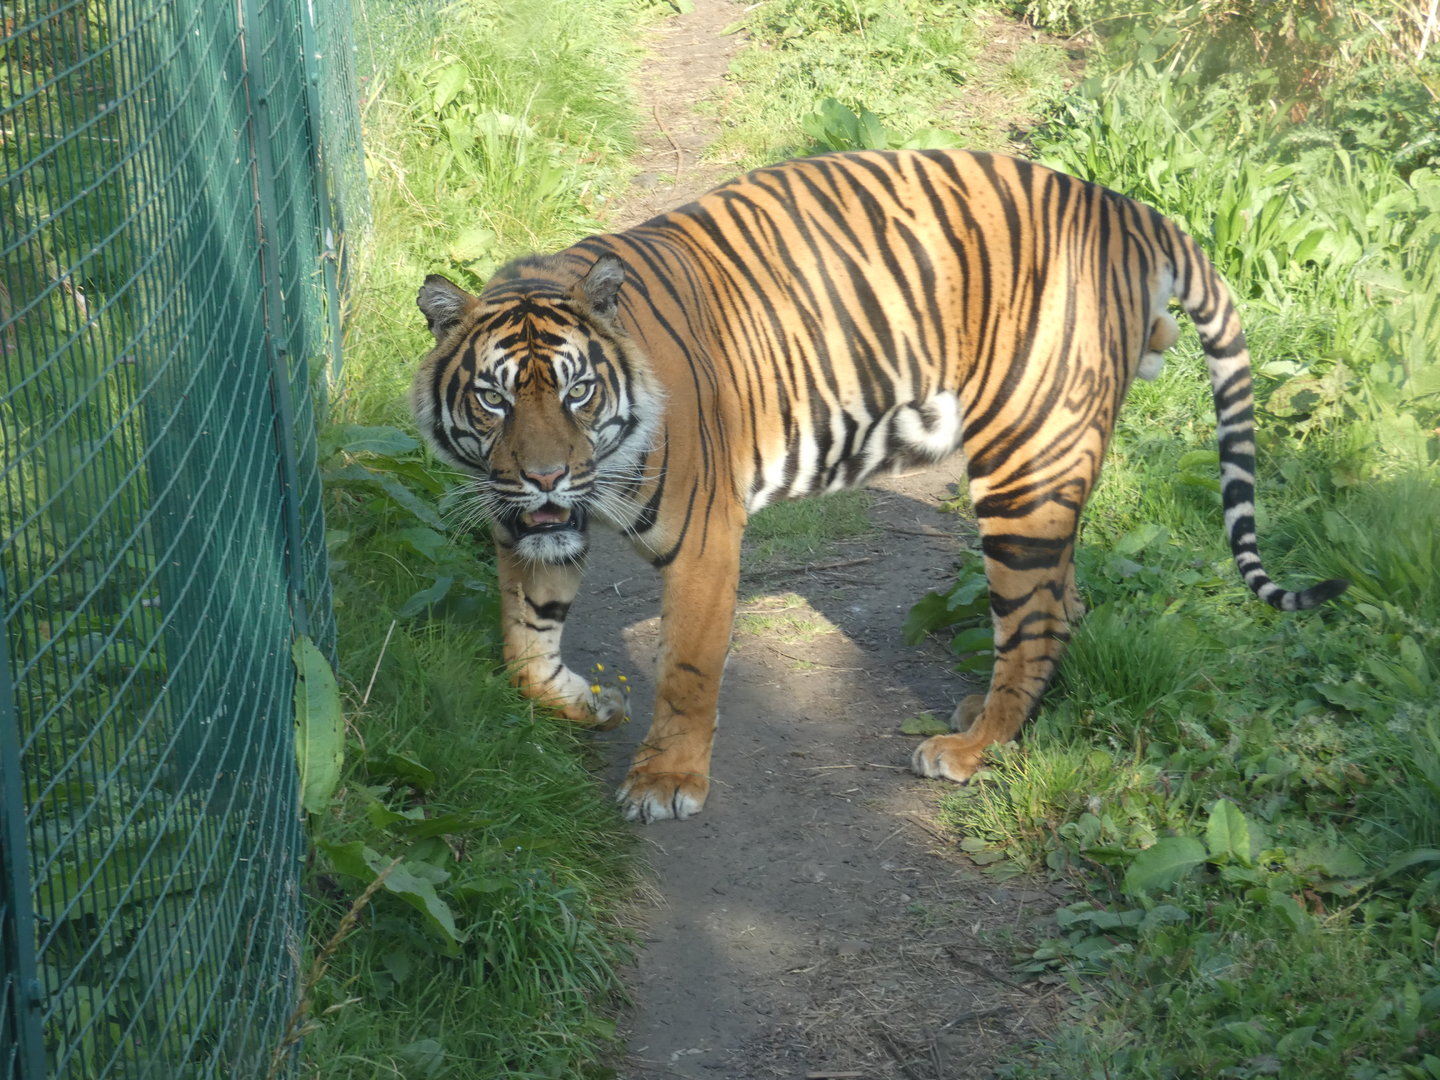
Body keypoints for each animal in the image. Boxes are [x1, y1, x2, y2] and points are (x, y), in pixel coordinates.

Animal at [412, 149, 1347, 824]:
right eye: (495, 398)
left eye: (578, 392)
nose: (545, 474)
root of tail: (1127, 208)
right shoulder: (520, 527)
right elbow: (523, 649)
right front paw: (588, 703)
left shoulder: (705, 537)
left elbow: (686, 668)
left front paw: (665, 781)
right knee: (1065, 599)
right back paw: (985, 714)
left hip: (1024, 463)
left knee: (1039, 616)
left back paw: (970, 748)